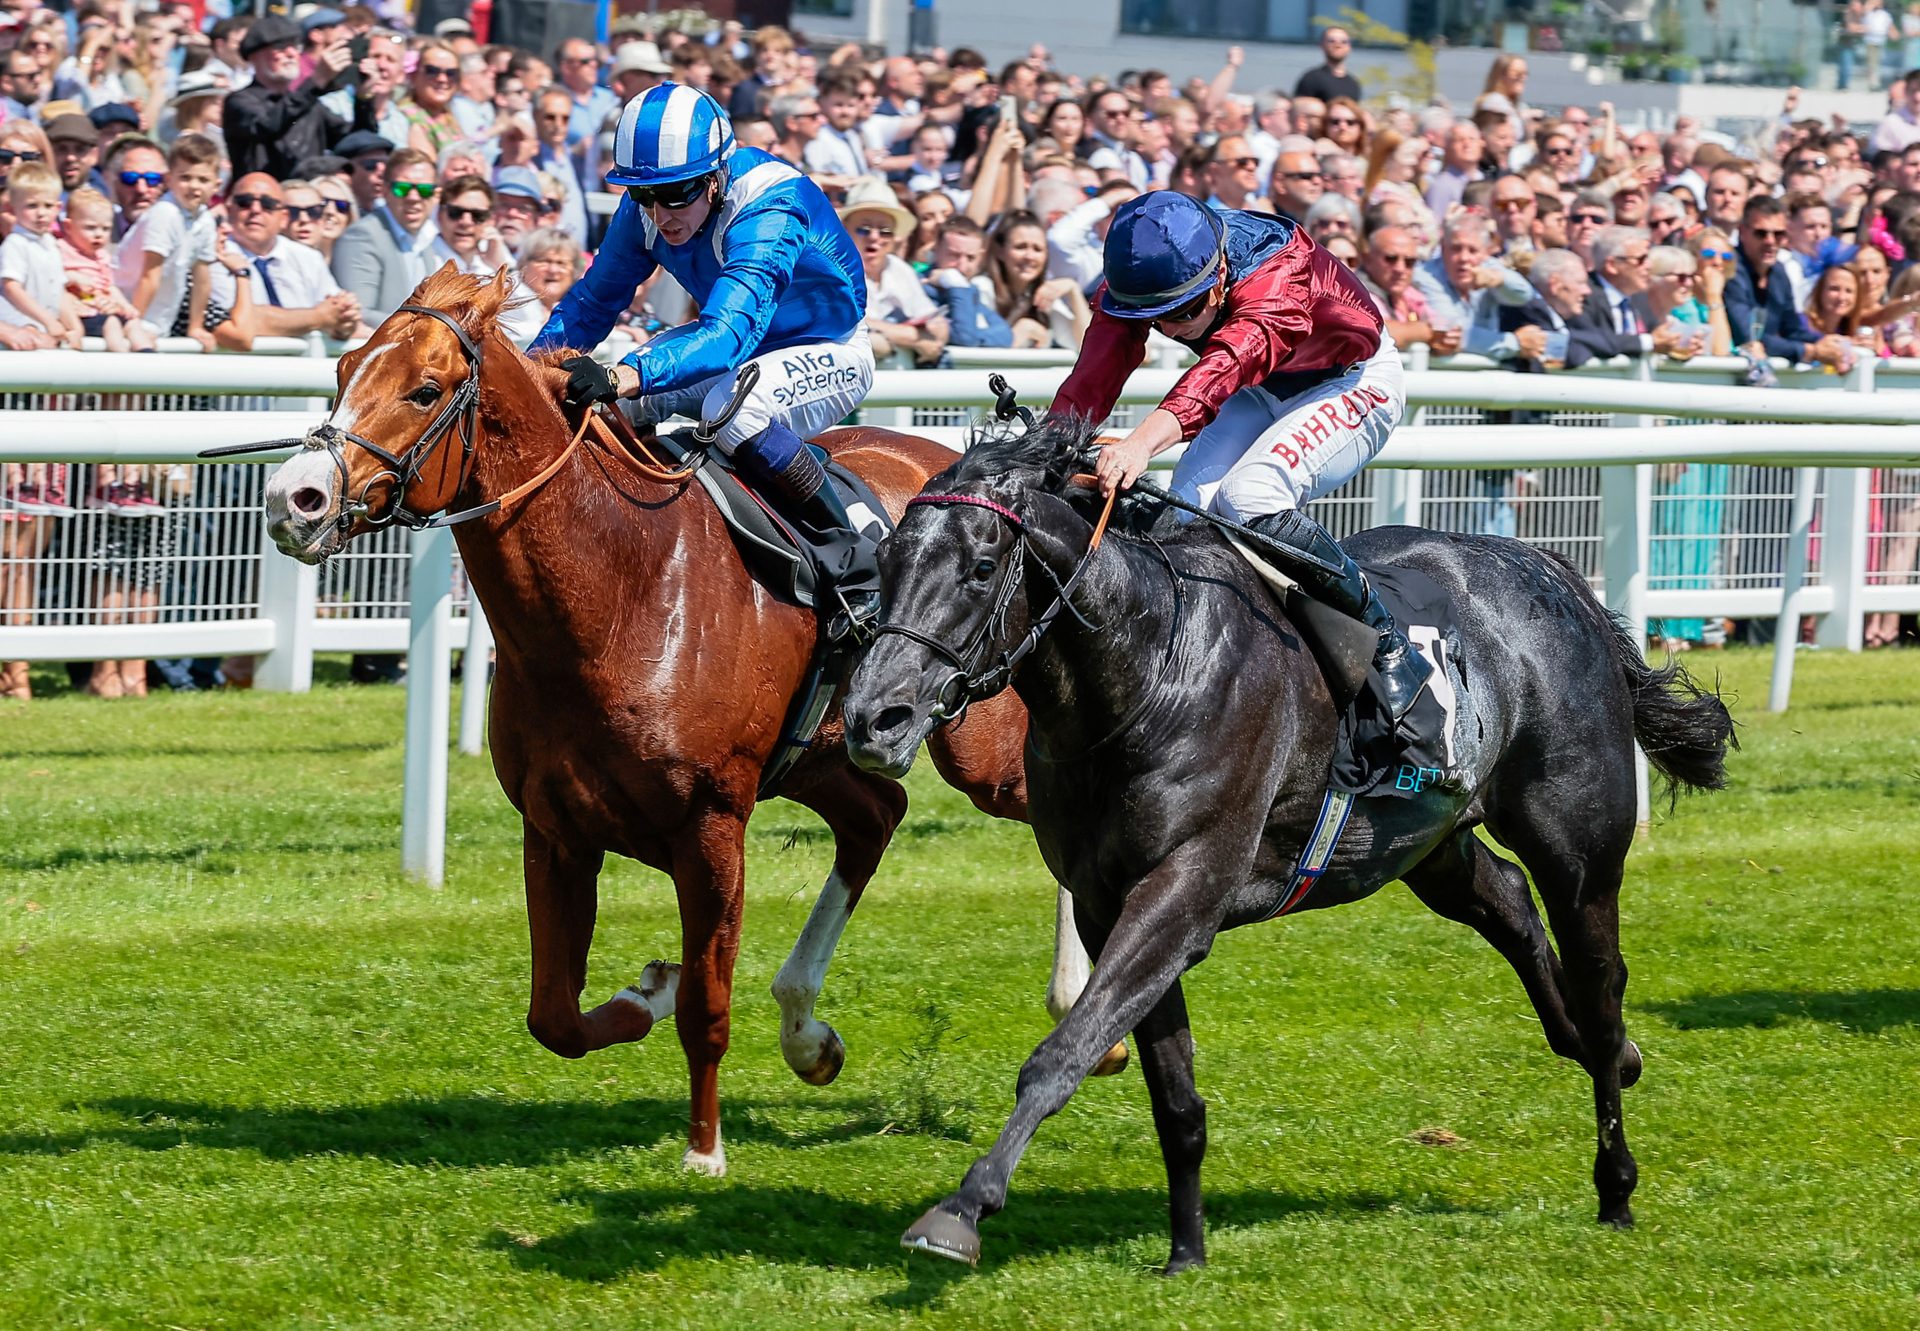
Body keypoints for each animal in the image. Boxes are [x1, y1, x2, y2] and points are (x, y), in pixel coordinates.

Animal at [255, 266, 1067, 1175]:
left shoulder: (710, 824)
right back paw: (806, 1032)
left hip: (974, 748)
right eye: (342, 369)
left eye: (425, 389)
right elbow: (554, 1014)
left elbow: (707, 1007)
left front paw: (704, 1150)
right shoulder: (556, 827)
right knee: (875, 817)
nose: (295, 498)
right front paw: (651, 987)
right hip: (828, 750)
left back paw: (1082, 1009)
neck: (621, 586)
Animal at [840, 420, 1743, 1275]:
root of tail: (1554, 572)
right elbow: (1174, 1096)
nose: (872, 718)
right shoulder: (1108, 901)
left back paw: (1615, 1175)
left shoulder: (1182, 890)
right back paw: (1604, 1050)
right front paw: (1186, 1249)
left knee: (1599, 979)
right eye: (883, 557)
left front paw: (962, 1209)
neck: (1148, 668)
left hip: (1579, 847)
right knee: (1509, 903)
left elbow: (1064, 1051)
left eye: (981, 566)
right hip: (1425, 840)